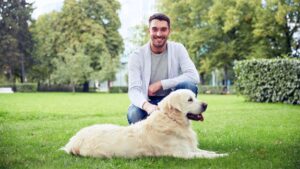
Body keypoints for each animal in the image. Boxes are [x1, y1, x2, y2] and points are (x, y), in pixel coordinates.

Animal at [62, 89, 229, 159]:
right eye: (190, 99)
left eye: (195, 97)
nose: (206, 105)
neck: (172, 120)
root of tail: (73, 141)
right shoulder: (182, 154)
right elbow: (203, 155)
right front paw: (222, 155)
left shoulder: (190, 148)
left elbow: (205, 151)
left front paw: (218, 152)